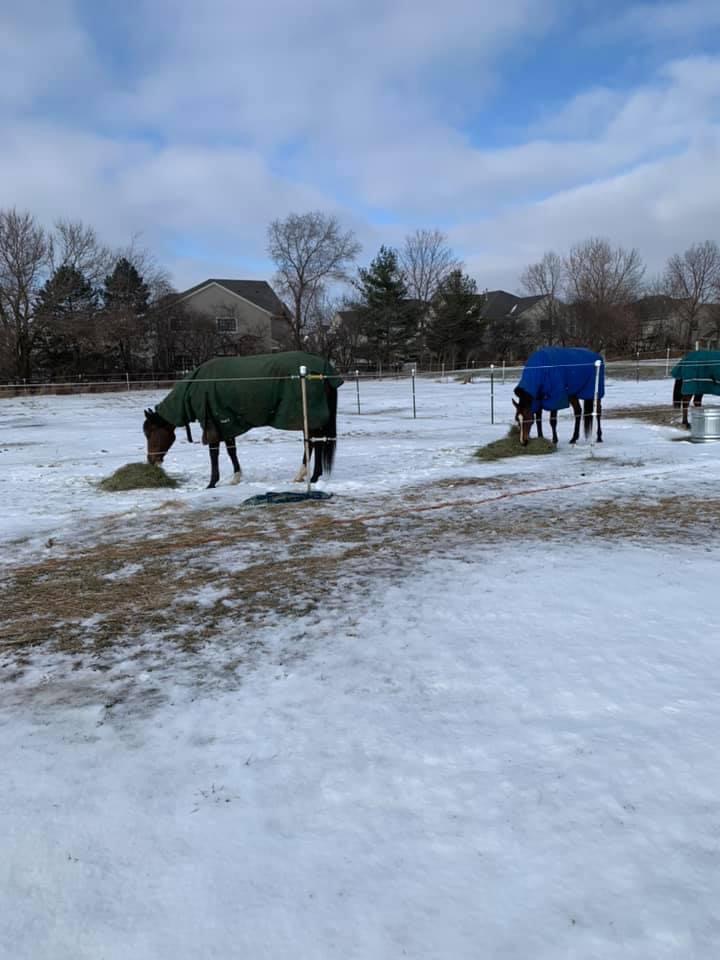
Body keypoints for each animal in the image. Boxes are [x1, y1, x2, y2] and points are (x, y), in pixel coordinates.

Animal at [143, 350, 344, 488]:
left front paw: (212, 482)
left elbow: (214, 453)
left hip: (308, 418)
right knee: (315, 444)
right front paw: (236, 478)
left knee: (312, 444)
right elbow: (231, 451)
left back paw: (307, 476)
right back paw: (311, 476)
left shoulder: (212, 424)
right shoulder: (226, 423)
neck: (197, 386)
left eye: (150, 432)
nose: (151, 461)